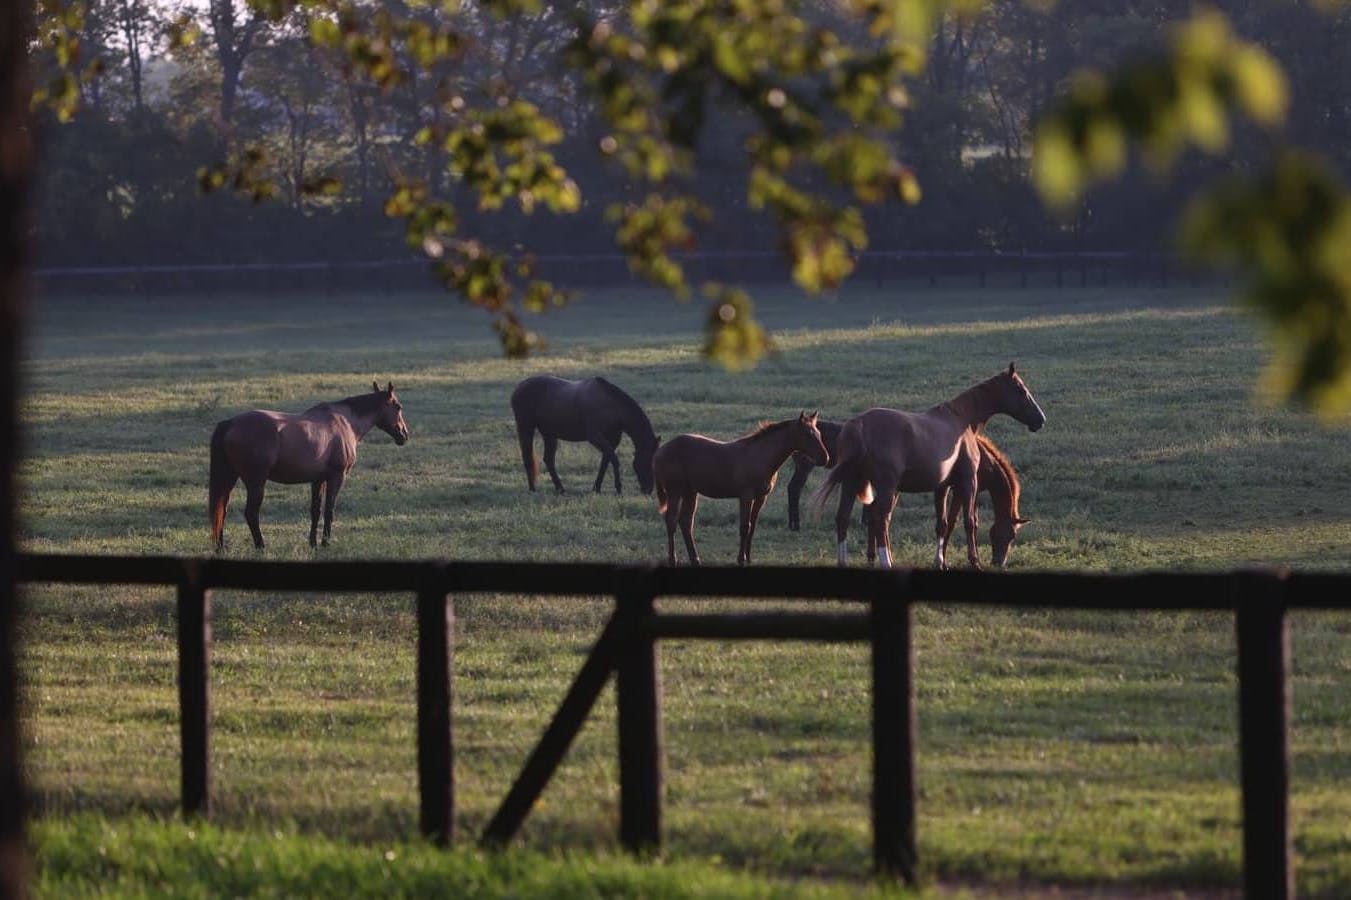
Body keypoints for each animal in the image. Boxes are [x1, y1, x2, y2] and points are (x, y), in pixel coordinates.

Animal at [208, 382, 409, 552]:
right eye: (398, 407)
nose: (404, 435)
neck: (345, 422)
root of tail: (230, 423)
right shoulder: (337, 477)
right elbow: (329, 510)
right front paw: (325, 543)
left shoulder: (318, 480)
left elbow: (315, 510)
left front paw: (313, 543)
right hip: (256, 482)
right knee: (250, 513)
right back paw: (260, 546)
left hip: (229, 478)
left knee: (221, 510)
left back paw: (220, 547)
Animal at [511, 375, 660, 495]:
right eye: (648, 463)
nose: (648, 490)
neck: (612, 406)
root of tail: (519, 387)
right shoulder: (595, 437)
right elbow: (614, 460)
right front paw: (618, 488)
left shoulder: (612, 440)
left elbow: (605, 461)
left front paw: (597, 488)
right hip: (526, 428)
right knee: (528, 457)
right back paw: (533, 489)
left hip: (549, 435)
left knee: (548, 460)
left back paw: (561, 489)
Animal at [655, 412, 829, 566]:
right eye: (808, 435)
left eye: (819, 433)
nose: (825, 458)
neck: (760, 455)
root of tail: (661, 451)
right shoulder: (746, 496)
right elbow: (745, 527)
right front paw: (741, 559)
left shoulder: (760, 498)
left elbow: (752, 526)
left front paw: (749, 558)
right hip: (675, 492)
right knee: (671, 521)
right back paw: (673, 560)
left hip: (690, 493)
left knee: (686, 522)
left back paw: (695, 559)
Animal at [810, 363, 1044, 569]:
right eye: (1021, 390)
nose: (1040, 419)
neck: (961, 420)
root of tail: (858, 424)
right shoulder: (969, 482)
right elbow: (970, 522)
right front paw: (974, 562)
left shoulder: (943, 487)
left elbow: (943, 525)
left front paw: (941, 563)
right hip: (886, 487)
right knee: (879, 519)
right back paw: (886, 562)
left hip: (852, 483)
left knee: (843, 518)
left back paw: (846, 561)